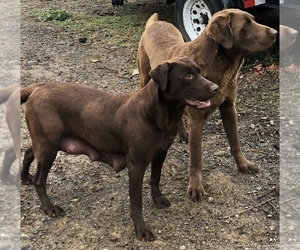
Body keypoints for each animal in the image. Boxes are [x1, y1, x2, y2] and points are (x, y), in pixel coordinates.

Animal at [21, 57, 218, 241]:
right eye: (188, 76)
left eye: (199, 72)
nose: (216, 88)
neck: (154, 114)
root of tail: (39, 87)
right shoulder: (136, 166)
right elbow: (136, 203)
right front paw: (141, 230)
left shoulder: (161, 153)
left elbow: (155, 179)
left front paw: (158, 199)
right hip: (48, 147)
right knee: (40, 180)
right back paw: (49, 207)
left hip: (46, 142)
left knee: (28, 152)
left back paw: (24, 177)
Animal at [137, 9, 278, 201]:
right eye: (246, 25)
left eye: (253, 20)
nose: (275, 33)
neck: (219, 67)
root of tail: (154, 23)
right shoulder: (197, 120)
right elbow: (196, 158)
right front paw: (196, 187)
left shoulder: (229, 108)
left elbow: (235, 143)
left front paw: (243, 165)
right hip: (145, 78)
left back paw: (182, 133)